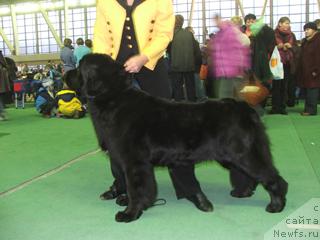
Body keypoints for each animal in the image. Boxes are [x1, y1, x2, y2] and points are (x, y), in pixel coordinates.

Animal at [74, 53, 288, 222]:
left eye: (79, 67)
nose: (68, 74)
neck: (116, 97)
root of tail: (245, 108)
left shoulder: (134, 162)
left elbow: (137, 188)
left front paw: (129, 213)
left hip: (243, 153)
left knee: (270, 176)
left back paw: (276, 205)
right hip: (232, 156)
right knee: (250, 175)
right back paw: (242, 192)